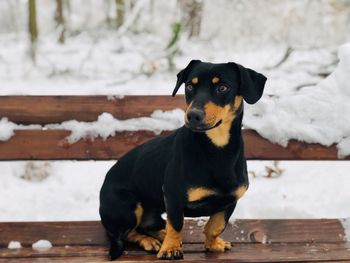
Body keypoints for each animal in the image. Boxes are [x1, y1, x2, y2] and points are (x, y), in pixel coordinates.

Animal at [100, 60, 266, 260]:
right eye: (189, 86)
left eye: (223, 87)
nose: (193, 115)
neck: (216, 149)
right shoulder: (173, 196)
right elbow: (177, 224)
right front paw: (170, 248)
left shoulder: (229, 200)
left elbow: (215, 226)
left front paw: (213, 244)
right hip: (127, 205)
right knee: (125, 233)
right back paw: (150, 241)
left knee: (147, 225)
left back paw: (160, 234)